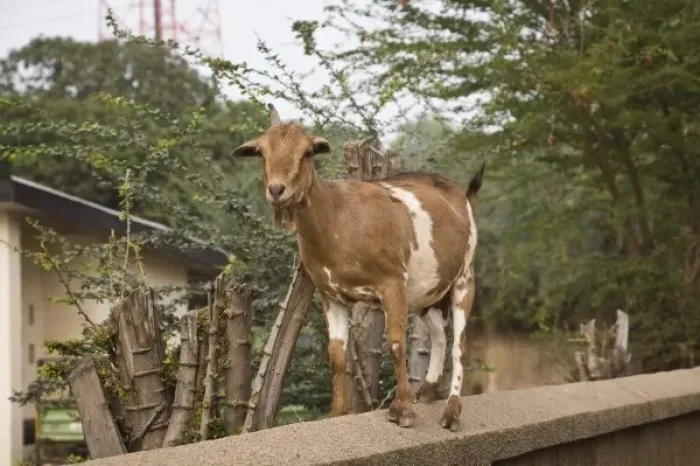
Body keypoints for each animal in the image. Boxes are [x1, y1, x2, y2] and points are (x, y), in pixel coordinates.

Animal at [232, 104, 484, 430]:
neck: (338, 216)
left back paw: (451, 413)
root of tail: (463, 195)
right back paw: (427, 391)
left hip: (465, 275)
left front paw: (402, 410)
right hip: (428, 292)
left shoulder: (391, 282)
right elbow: (337, 356)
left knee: (460, 345)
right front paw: (338, 413)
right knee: (440, 335)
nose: (277, 189)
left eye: (308, 152)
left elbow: (396, 343)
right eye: (261, 152)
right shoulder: (331, 296)